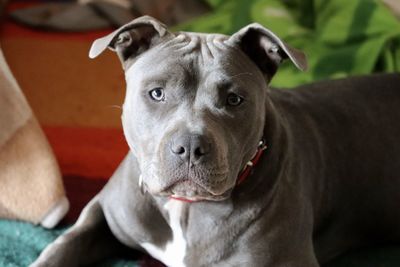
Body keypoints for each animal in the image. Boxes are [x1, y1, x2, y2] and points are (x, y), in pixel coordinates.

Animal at [30, 15, 400, 266]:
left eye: (234, 99)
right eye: (156, 93)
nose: (190, 147)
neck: (185, 207)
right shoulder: (102, 216)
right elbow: (60, 248)